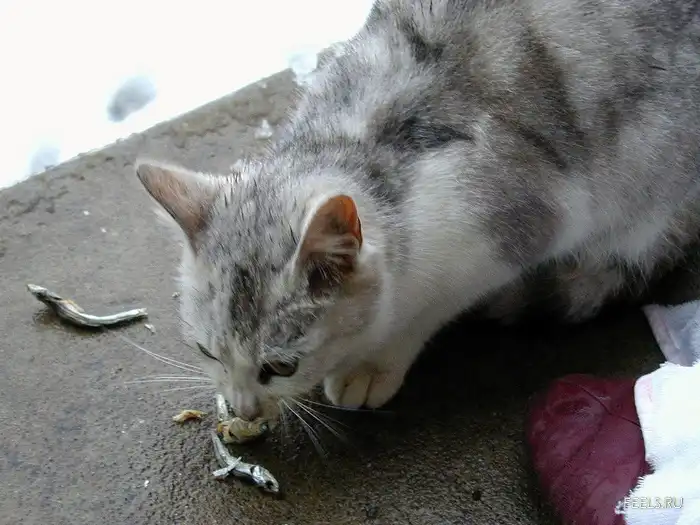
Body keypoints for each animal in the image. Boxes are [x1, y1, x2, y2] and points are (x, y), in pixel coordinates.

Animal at [135, 0, 700, 423]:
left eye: (282, 367)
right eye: (208, 352)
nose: (243, 409)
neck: (354, 143)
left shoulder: (524, 224)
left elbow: (429, 307)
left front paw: (374, 364)